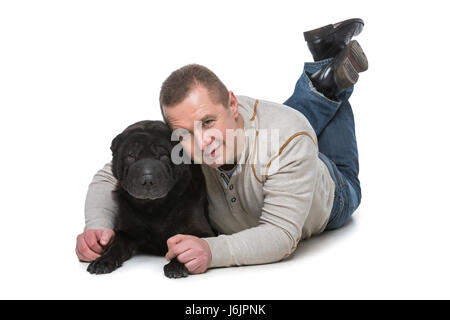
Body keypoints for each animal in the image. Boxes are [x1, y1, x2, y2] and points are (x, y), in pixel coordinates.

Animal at [87, 120, 216, 278]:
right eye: (131, 155)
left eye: (163, 156)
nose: (147, 179)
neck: (154, 209)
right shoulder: (126, 231)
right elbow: (116, 245)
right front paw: (103, 260)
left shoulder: (201, 230)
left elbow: (190, 244)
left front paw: (176, 265)